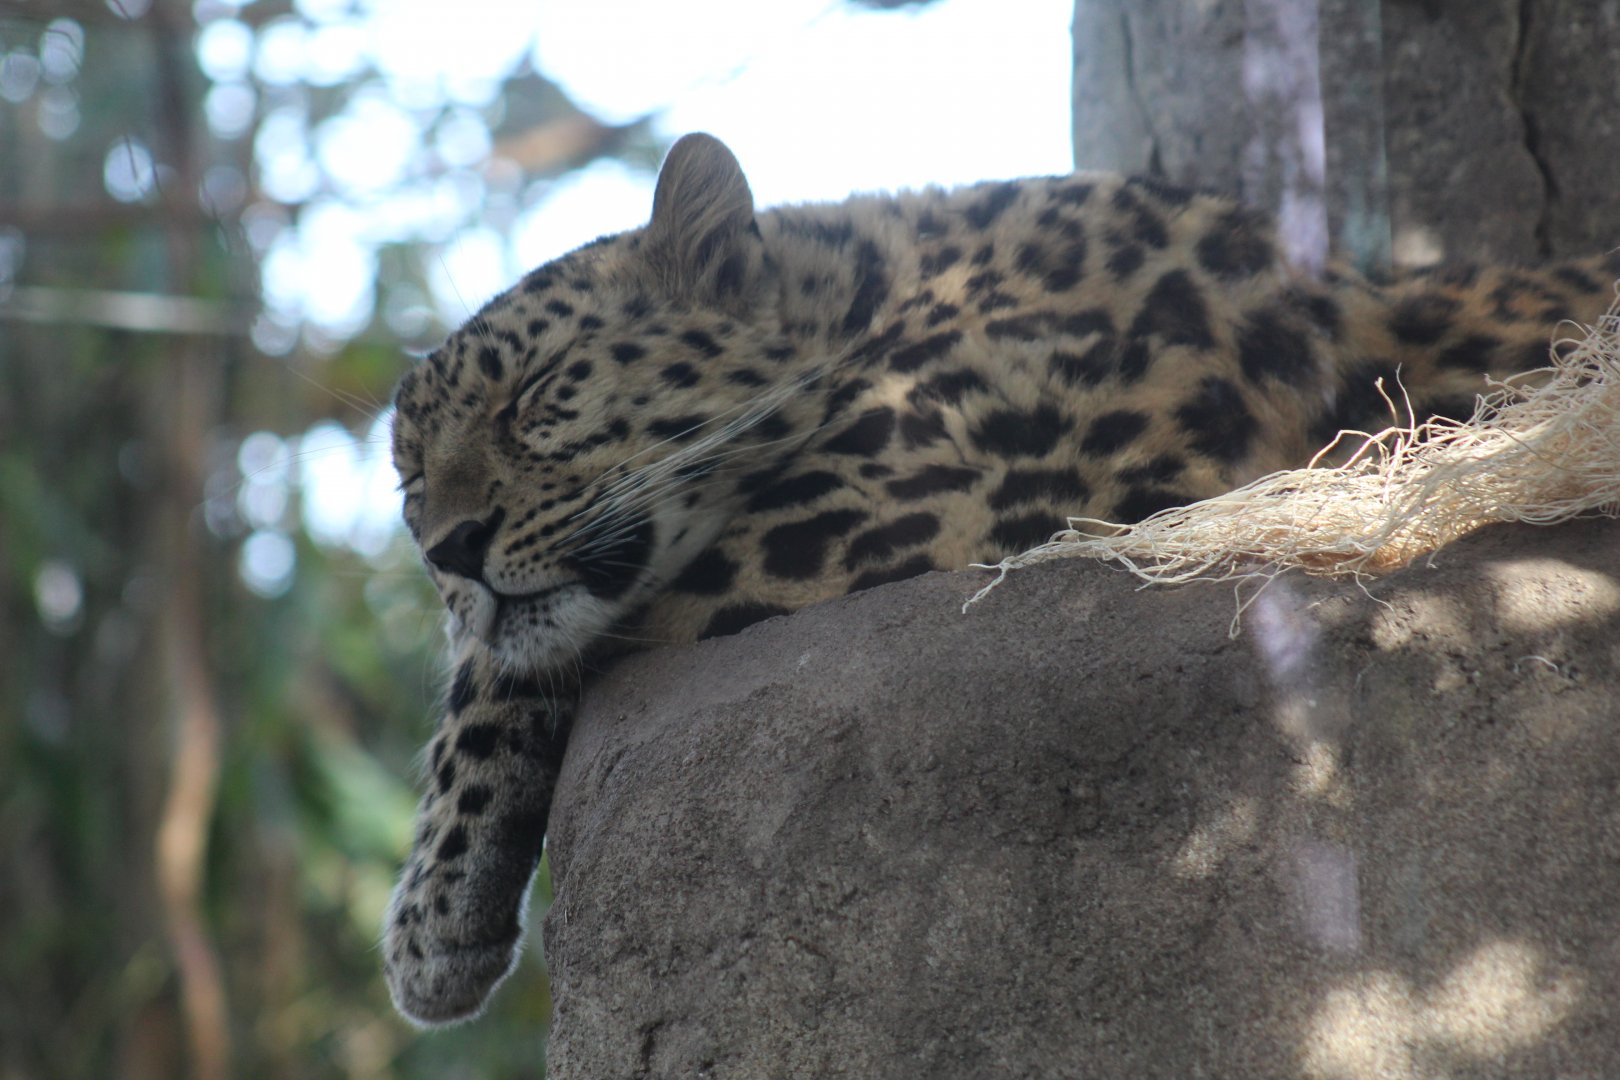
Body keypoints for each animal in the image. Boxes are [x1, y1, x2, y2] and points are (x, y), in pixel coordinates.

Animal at [381, 132, 1618, 1026]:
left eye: (539, 394)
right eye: (406, 480)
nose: (447, 547)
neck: (876, 290)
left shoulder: (900, 514)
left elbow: (509, 661)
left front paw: (428, 917)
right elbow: (506, 649)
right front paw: (443, 908)